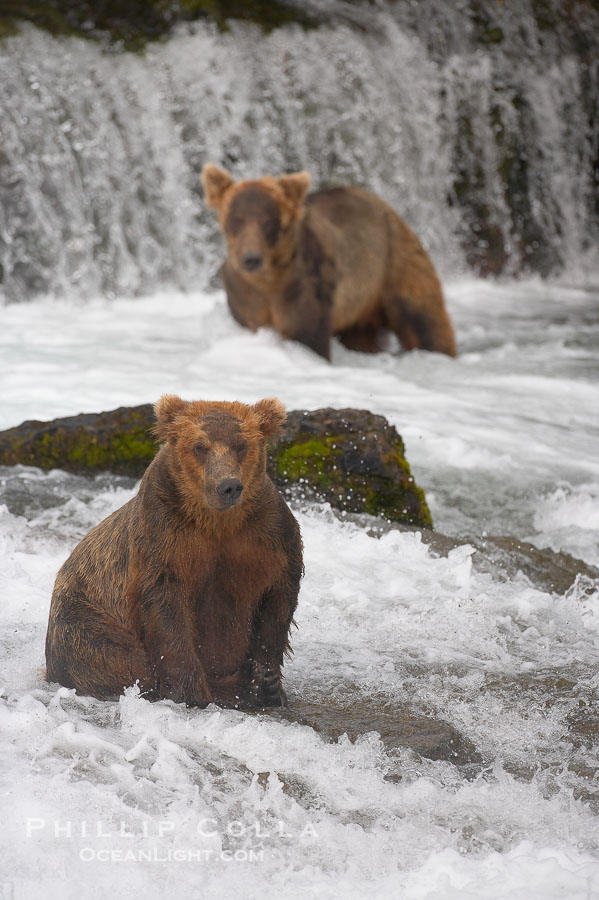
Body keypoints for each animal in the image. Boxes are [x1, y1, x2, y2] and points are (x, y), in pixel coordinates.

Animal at [45, 395, 303, 708]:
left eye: (241, 444)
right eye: (200, 446)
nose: (228, 486)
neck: (217, 524)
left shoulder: (269, 535)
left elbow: (277, 603)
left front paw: (267, 684)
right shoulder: (163, 535)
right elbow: (167, 612)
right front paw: (189, 692)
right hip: (85, 618)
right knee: (112, 656)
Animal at [202, 163, 457, 360]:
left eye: (269, 221)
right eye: (236, 219)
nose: (251, 259)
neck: (269, 281)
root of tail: (385, 206)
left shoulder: (303, 286)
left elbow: (307, 334)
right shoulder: (245, 297)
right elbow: (251, 319)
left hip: (393, 262)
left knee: (421, 317)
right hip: (361, 300)